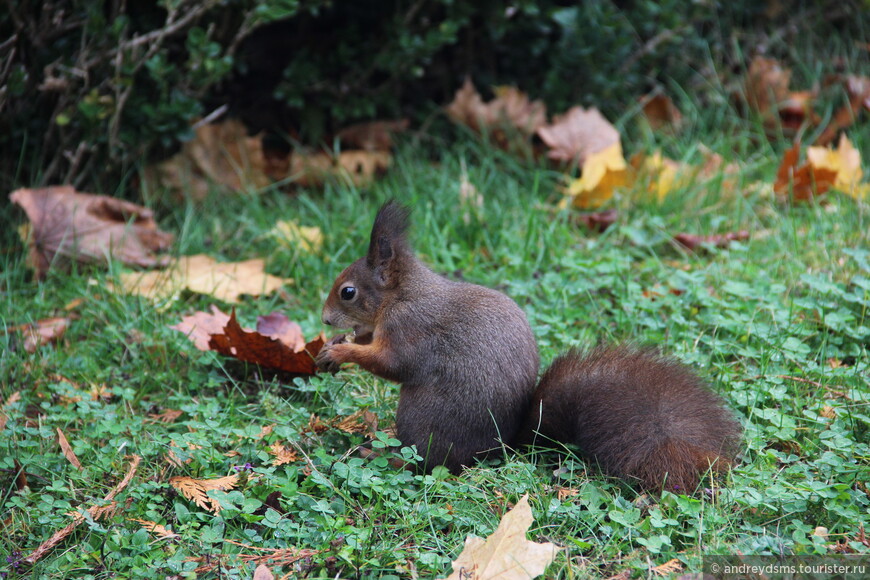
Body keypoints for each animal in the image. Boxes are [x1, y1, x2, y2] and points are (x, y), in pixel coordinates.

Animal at [320, 202, 744, 492]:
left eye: (348, 292)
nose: (324, 320)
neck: (403, 295)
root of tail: (500, 449)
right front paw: (337, 345)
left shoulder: (410, 329)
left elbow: (392, 364)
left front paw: (342, 351)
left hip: (419, 418)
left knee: (422, 463)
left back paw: (381, 455)